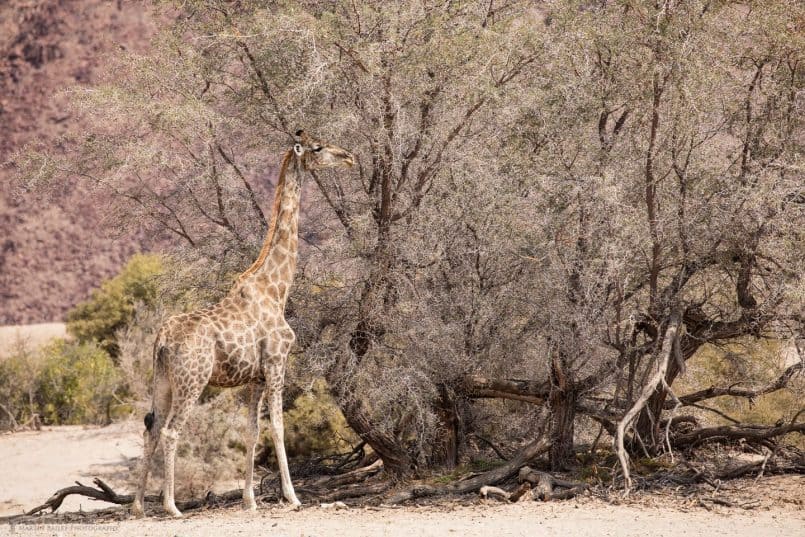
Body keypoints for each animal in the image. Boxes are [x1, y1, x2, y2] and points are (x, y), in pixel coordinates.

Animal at [131, 129, 352, 516]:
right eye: (318, 147)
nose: (350, 157)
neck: (276, 288)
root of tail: (161, 339)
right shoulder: (277, 363)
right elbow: (278, 427)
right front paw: (292, 497)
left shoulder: (255, 377)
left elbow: (251, 431)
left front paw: (250, 500)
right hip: (193, 379)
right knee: (172, 430)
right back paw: (171, 506)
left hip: (162, 380)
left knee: (152, 427)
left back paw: (139, 506)